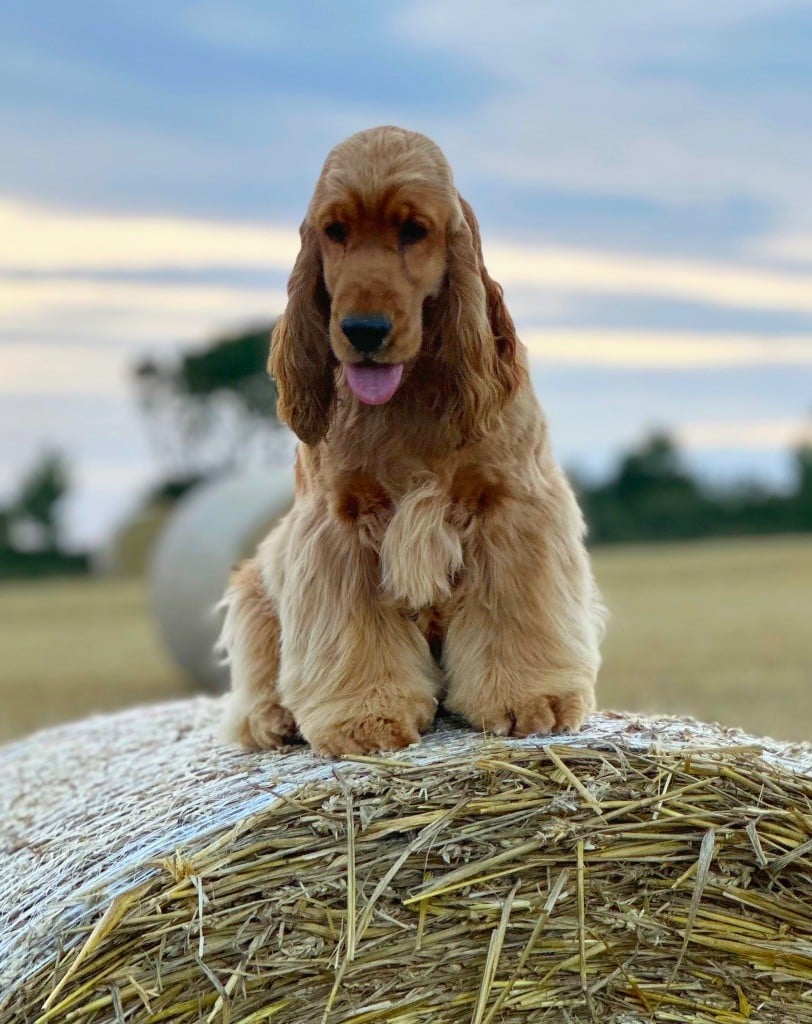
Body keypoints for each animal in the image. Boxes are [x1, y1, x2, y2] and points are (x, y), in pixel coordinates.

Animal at [218, 123, 606, 757]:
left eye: (413, 231)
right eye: (335, 231)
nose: (363, 331)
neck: (409, 397)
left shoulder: (512, 506)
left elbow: (514, 611)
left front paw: (532, 699)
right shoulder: (337, 523)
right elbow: (353, 633)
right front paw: (364, 717)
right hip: (256, 579)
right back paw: (272, 718)